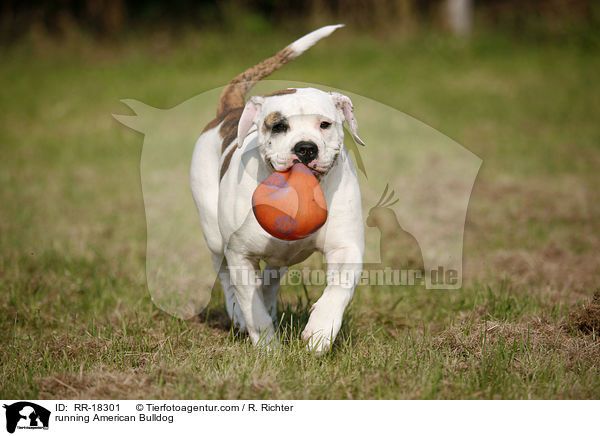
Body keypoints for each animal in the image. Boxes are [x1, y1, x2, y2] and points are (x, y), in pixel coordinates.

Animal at [191, 23, 366, 352]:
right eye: (278, 126)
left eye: (325, 124)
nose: (306, 148)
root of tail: (227, 113)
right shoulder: (240, 254)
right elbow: (251, 305)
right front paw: (267, 347)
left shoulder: (346, 247)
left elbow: (338, 290)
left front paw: (320, 332)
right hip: (214, 235)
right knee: (226, 275)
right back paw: (238, 314)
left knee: (270, 280)